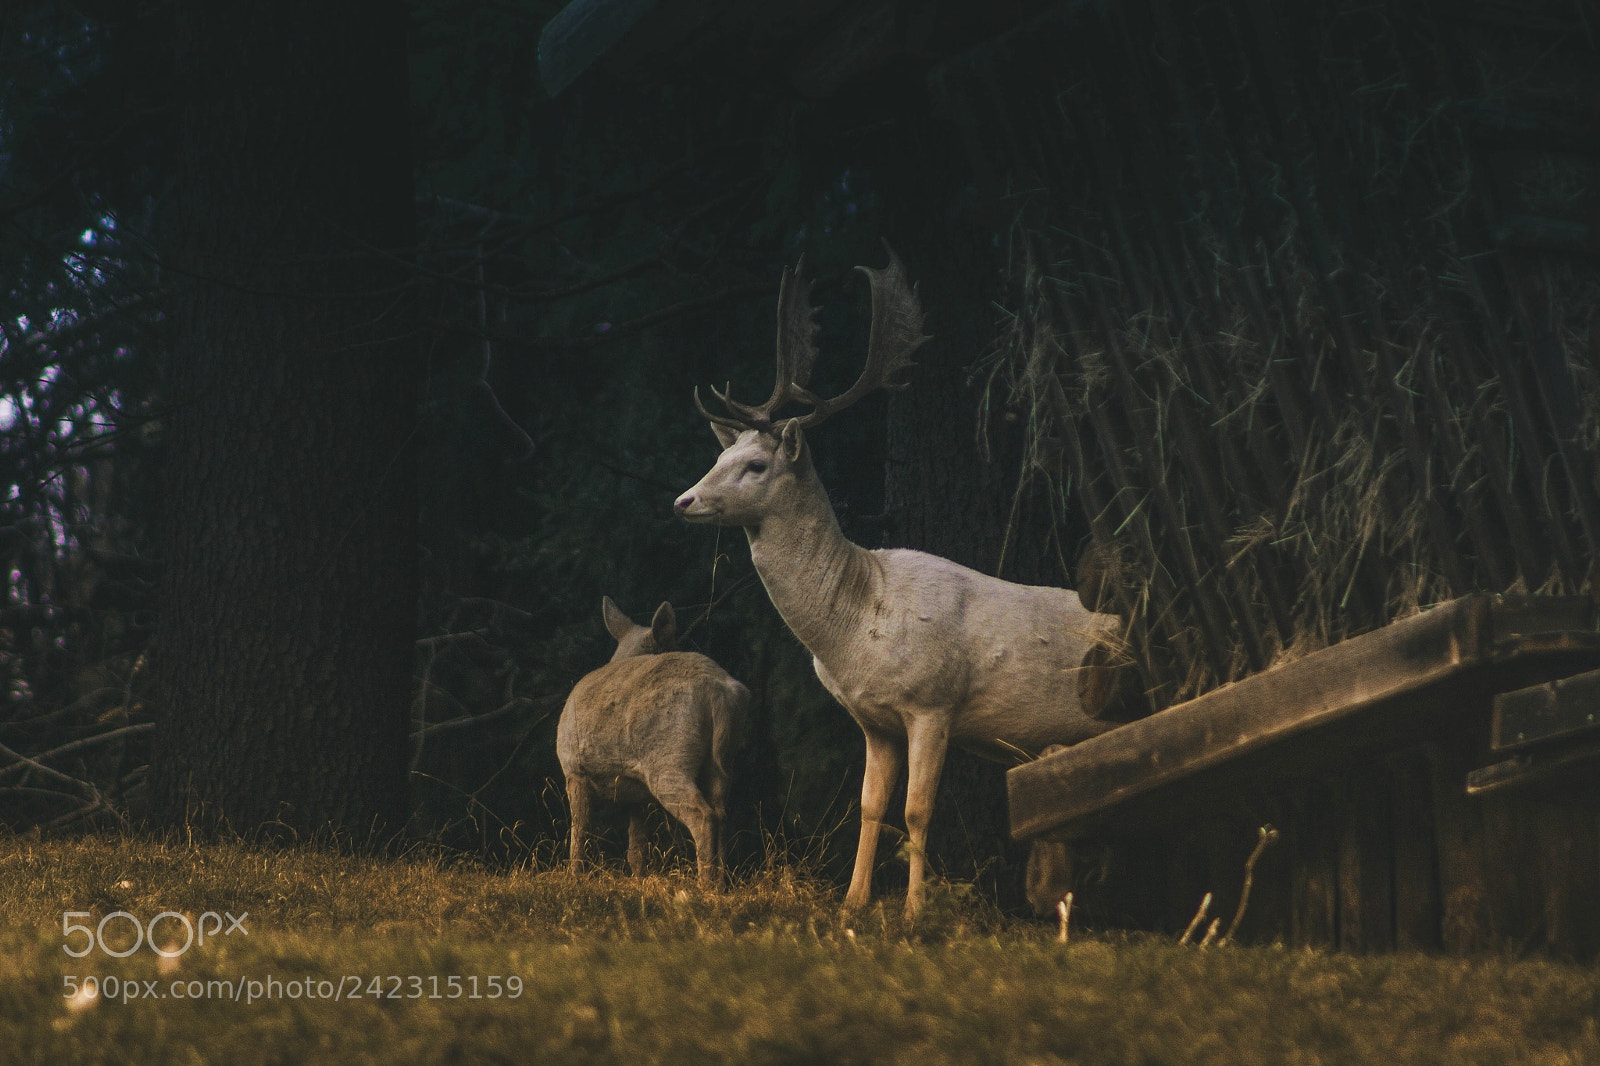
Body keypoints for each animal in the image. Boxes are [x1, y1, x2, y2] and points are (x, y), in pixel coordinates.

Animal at [557, 596, 749, 884]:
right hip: (722, 761)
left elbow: (579, 834)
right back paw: (719, 882)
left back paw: (704, 884)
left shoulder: (574, 769)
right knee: (722, 813)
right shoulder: (636, 792)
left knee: (703, 814)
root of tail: (718, 690)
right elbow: (636, 847)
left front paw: (575, 878)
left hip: (668, 757)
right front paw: (639, 880)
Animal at [674, 244, 1121, 918]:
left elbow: (916, 810)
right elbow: (869, 808)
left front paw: (914, 911)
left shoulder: (934, 702)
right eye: (717, 457)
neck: (858, 622)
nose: (684, 501)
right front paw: (852, 904)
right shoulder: (874, 720)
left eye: (753, 465)